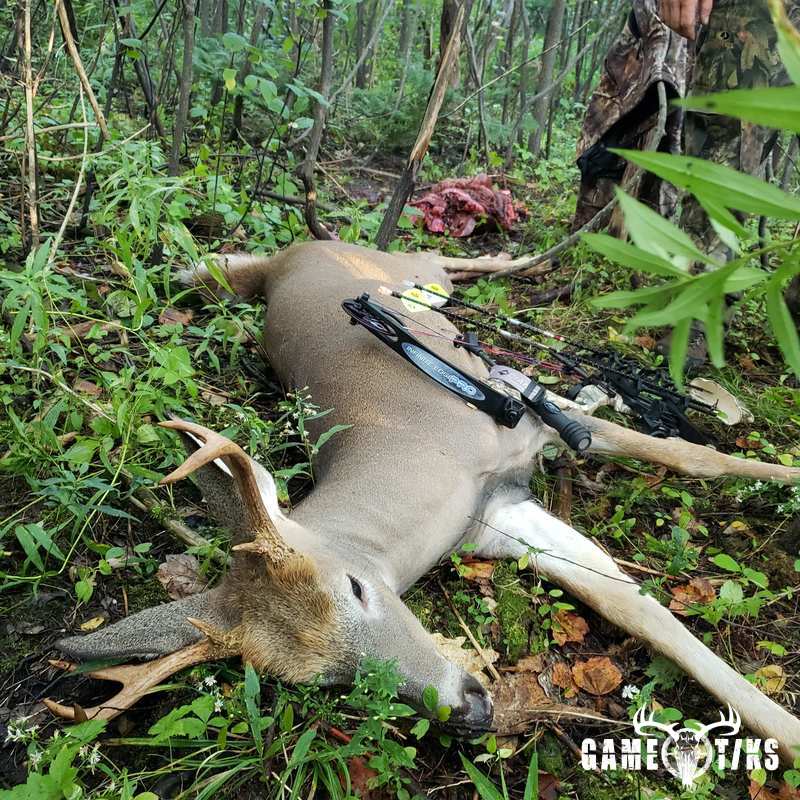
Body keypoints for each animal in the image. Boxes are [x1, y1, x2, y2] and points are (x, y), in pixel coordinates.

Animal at [46, 240, 800, 763]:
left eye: (355, 587)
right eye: (328, 682)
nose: (467, 711)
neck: (422, 460)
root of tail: (292, 261)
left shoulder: (530, 420)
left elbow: (695, 457)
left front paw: (782, 473)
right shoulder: (500, 519)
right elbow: (639, 611)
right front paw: (785, 732)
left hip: (409, 269)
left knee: (452, 258)